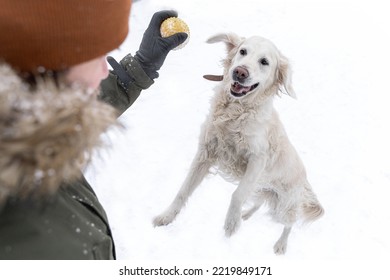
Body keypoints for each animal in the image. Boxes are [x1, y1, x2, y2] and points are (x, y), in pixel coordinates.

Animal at [154, 32, 324, 254]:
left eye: (264, 62)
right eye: (243, 51)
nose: (239, 72)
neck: (235, 111)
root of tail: (305, 181)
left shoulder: (257, 160)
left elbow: (238, 193)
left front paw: (231, 223)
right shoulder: (205, 153)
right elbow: (183, 190)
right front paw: (166, 216)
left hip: (284, 206)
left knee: (289, 223)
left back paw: (280, 244)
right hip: (263, 189)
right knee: (258, 202)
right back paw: (246, 214)